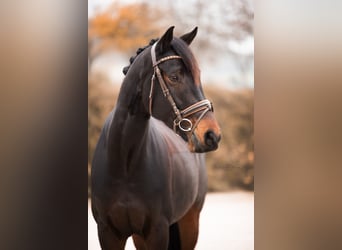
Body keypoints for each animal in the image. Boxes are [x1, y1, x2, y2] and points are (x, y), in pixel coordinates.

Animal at [91, 26, 222, 249]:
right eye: (174, 77)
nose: (212, 135)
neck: (124, 162)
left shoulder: (157, 232)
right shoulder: (108, 233)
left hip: (190, 222)